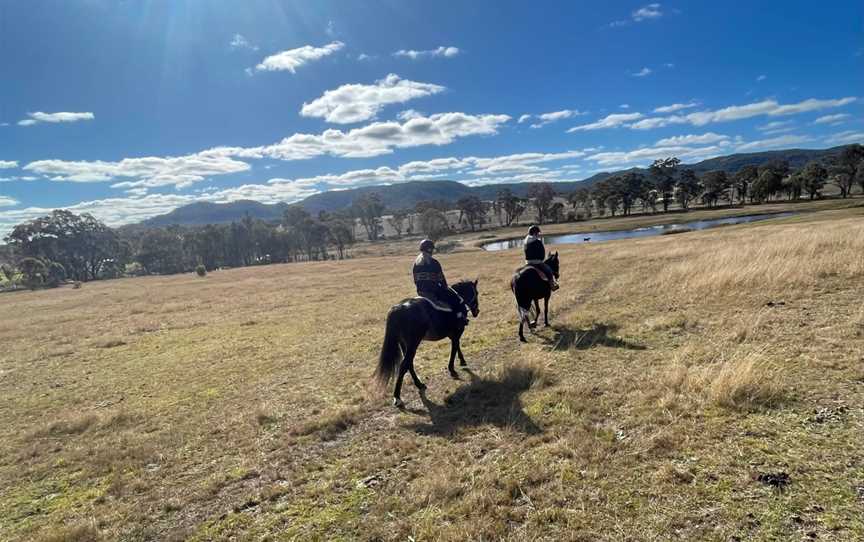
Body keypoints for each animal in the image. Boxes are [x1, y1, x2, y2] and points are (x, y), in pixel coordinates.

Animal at [374, 280, 480, 408]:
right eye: (476, 293)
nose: (477, 311)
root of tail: (397, 308)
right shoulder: (457, 332)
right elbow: (454, 348)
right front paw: (452, 369)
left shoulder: (453, 335)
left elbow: (457, 346)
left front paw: (462, 361)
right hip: (412, 344)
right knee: (404, 365)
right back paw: (397, 397)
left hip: (405, 344)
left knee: (409, 364)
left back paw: (419, 384)